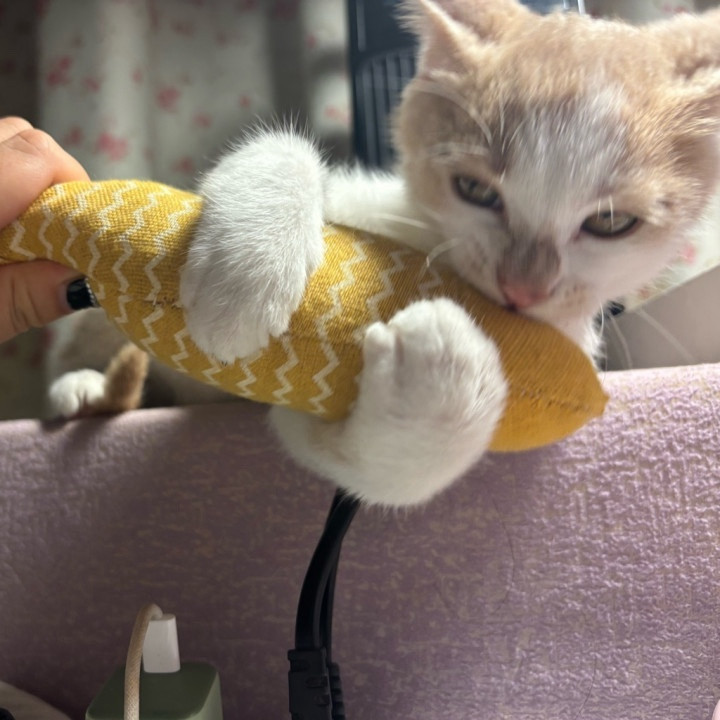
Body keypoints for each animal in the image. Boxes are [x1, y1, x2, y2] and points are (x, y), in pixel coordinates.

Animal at [47, 0, 720, 506]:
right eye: (476, 190)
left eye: (611, 223)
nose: (524, 286)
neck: (428, 244)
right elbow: (287, 154)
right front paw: (245, 270)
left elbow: (367, 469)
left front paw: (443, 370)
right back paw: (80, 386)